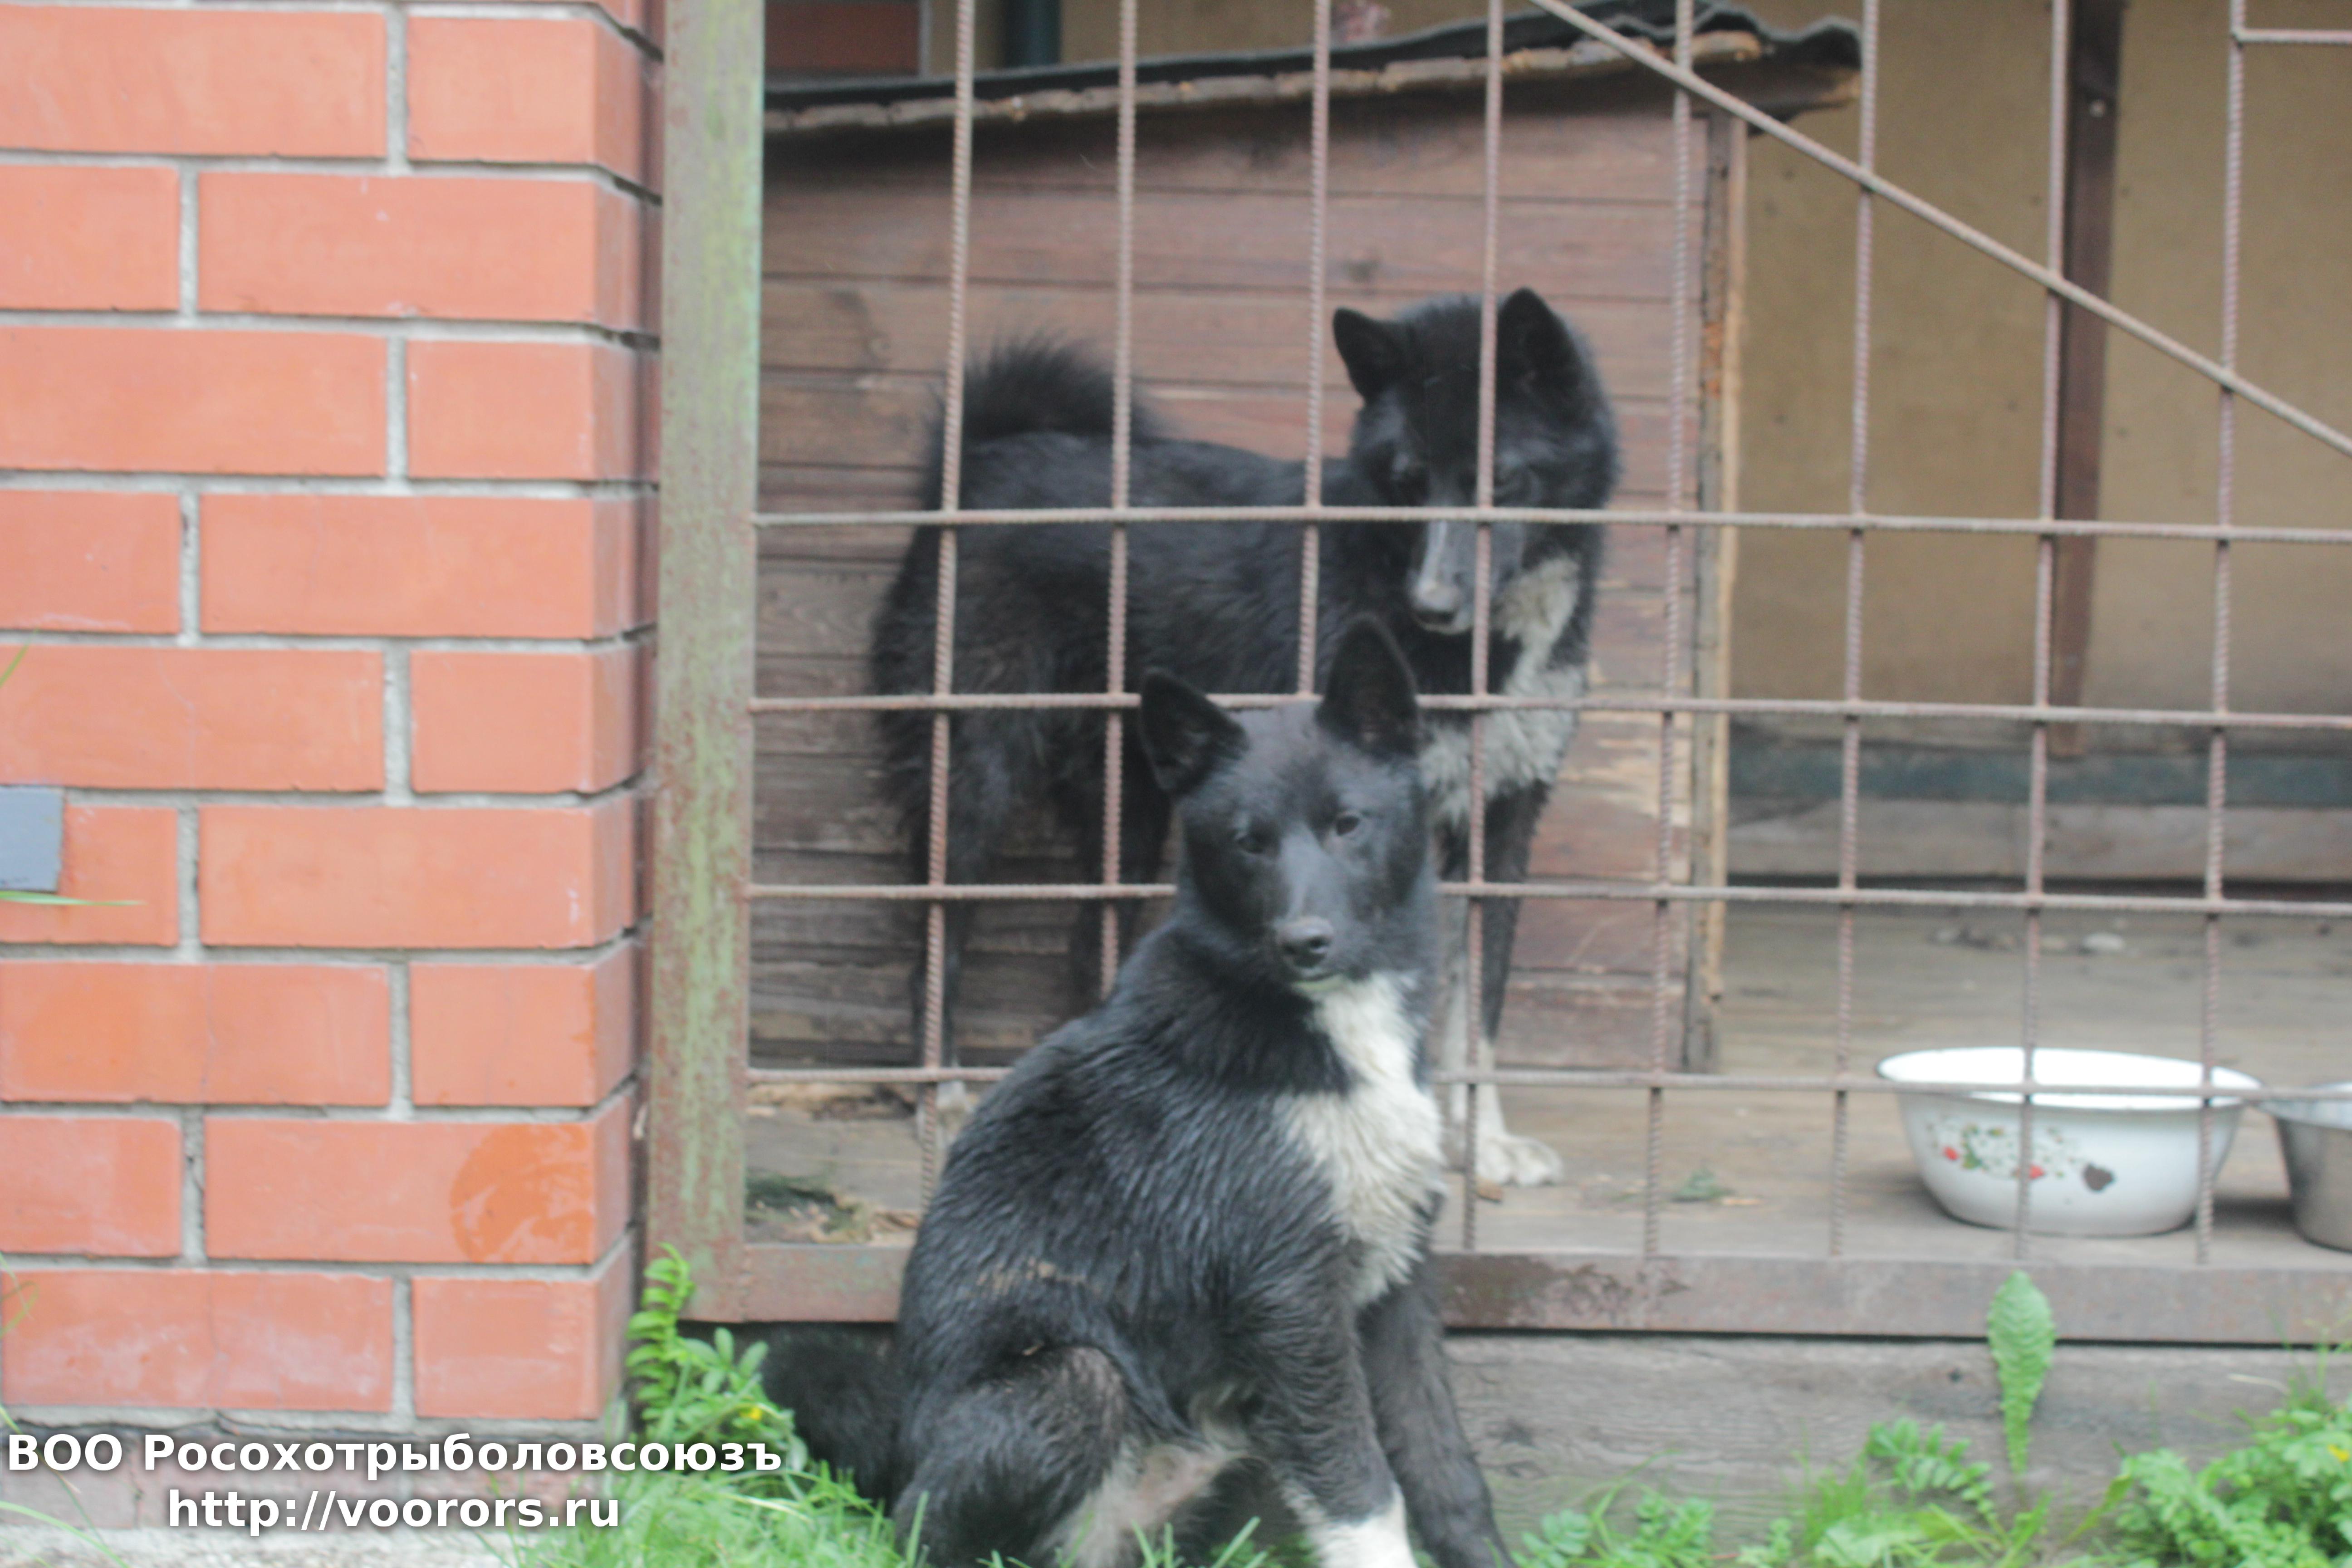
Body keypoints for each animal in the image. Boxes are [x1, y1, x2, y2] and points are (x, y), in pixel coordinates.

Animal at [779, 622, 1505, 1568]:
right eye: (1247, 841)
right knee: (921, 1531)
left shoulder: (1397, 1287)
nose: (1303, 942)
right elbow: (1359, 1489)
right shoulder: (1291, 1301)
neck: (1326, 1036)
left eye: (1348, 824)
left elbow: (1445, 1471)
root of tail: (903, 1449)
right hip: (1071, 1379)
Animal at [872, 286, 1617, 1185]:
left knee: (1087, 947)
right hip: (974, 775)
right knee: (937, 927)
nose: (1430, 605)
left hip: (1130, 808)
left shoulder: (1501, 816)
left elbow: (1481, 997)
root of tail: (984, 457)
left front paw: (1485, 1143)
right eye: (1406, 481)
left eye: (1500, 481)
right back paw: (938, 1095)